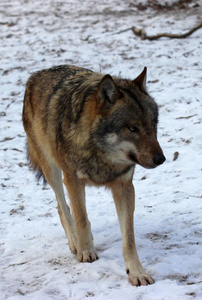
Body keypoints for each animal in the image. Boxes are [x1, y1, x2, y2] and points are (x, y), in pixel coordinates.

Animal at [22, 65, 165, 286]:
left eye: (153, 125)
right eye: (132, 128)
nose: (161, 159)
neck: (100, 152)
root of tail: (38, 73)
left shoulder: (124, 186)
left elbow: (129, 238)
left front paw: (136, 272)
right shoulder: (73, 180)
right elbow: (81, 218)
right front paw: (86, 251)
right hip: (52, 170)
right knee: (63, 208)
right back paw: (75, 243)